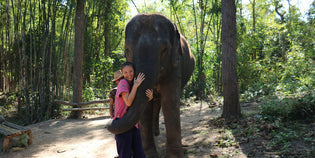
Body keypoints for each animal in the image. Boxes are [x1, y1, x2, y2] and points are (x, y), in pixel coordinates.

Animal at [107, 13, 196, 158]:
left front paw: (174, 156)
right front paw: (150, 154)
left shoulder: (175, 65)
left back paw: (157, 132)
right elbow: (146, 106)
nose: (111, 119)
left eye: (164, 49)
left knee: (160, 101)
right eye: (127, 49)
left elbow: (169, 101)